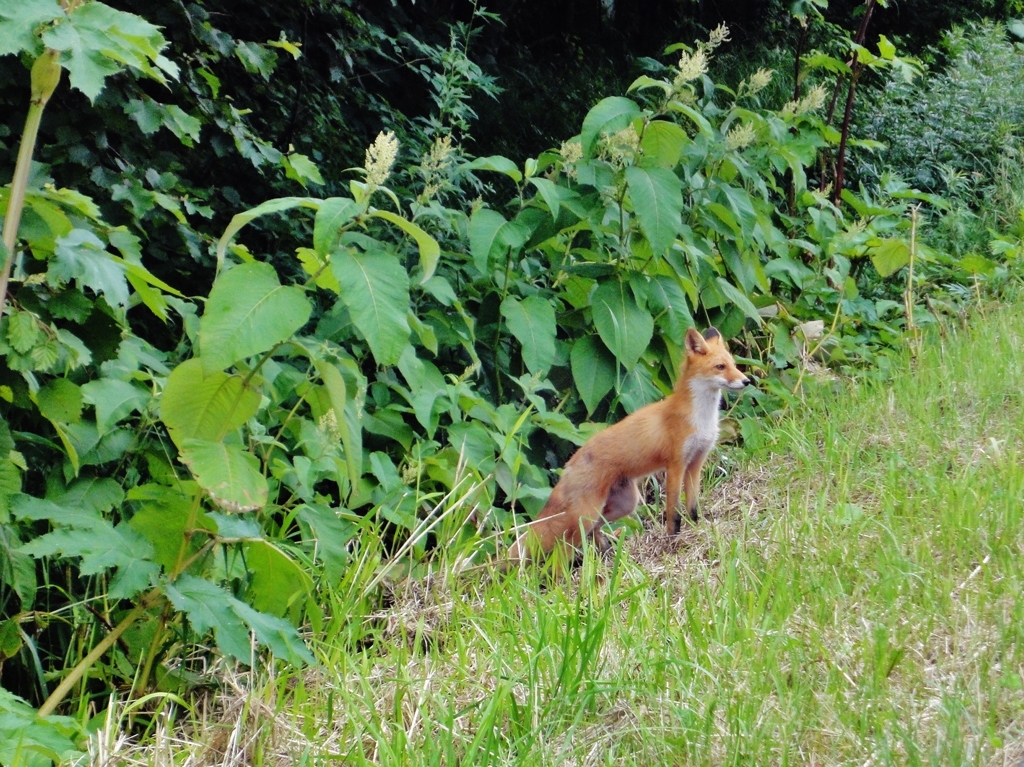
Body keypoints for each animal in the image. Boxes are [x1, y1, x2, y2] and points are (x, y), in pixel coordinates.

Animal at [507, 325, 749, 561]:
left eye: (734, 365)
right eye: (720, 367)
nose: (747, 381)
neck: (701, 418)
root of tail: (569, 464)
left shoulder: (696, 462)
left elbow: (692, 508)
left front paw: (696, 530)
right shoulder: (675, 465)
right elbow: (673, 512)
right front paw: (672, 542)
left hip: (624, 504)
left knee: (594, 530)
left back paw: (607, 556)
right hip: (586, 515)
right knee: (562, 550)